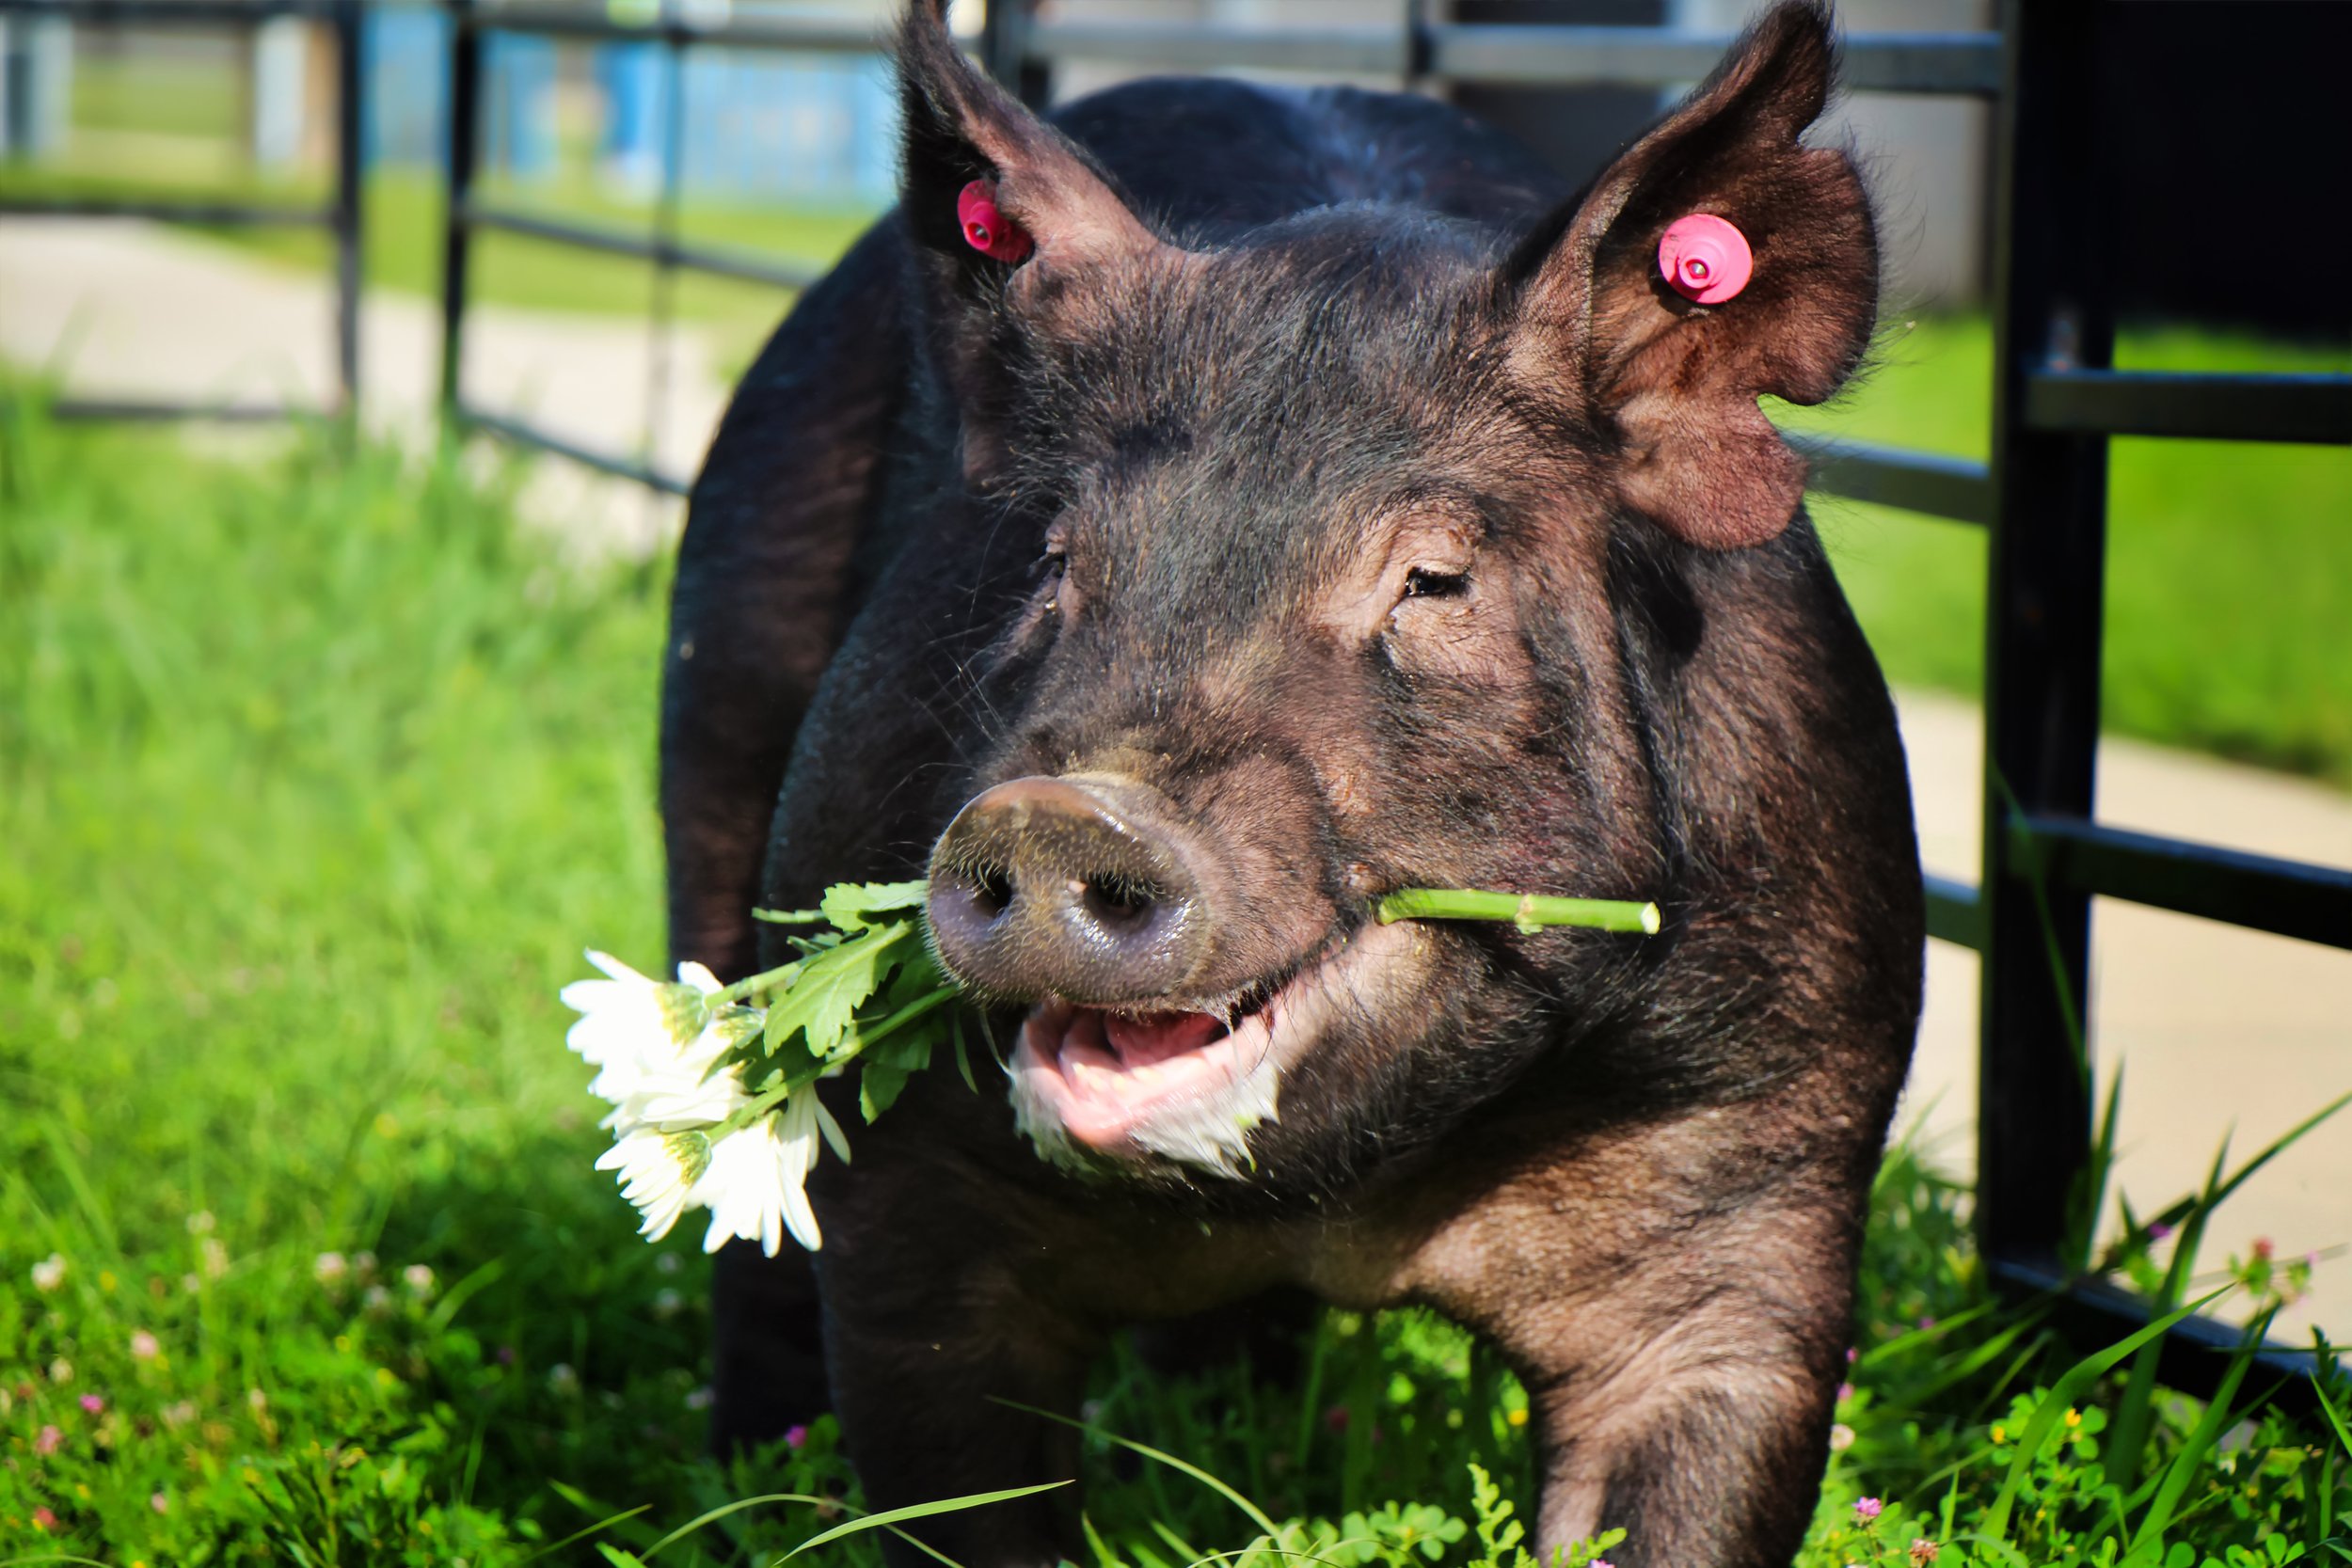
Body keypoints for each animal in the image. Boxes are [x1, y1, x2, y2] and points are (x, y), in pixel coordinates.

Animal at [659, 2, 1922, 1564]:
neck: (1363, 1193)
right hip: (720, 734)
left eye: (1434, 579)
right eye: (1057, 563)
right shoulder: (912, 1208)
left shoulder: (1765, 1173)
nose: (1065, 811)